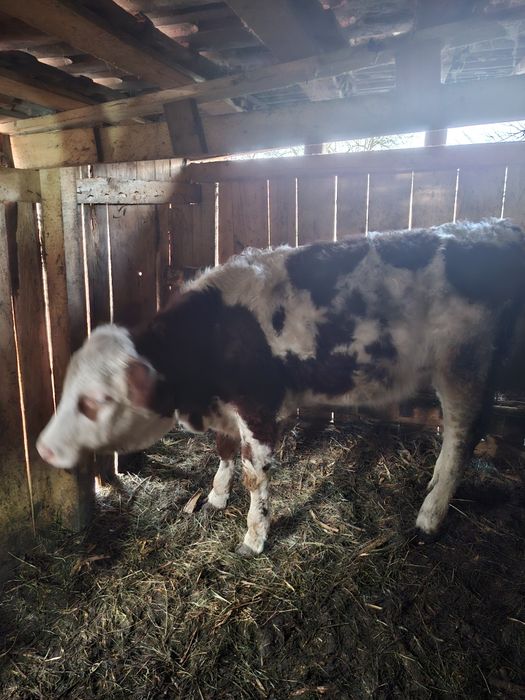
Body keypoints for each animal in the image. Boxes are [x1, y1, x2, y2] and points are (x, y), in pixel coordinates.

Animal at [37, 219, 525, 556]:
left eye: (94, 402)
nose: (42, 448)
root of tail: (494, 227)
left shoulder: (257, 405)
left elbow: (254, 474)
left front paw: (254, 537)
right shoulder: (226, 407)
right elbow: (223, 451)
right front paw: (214, 498)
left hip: (463, 365)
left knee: (461, 439)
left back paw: (429, 517)